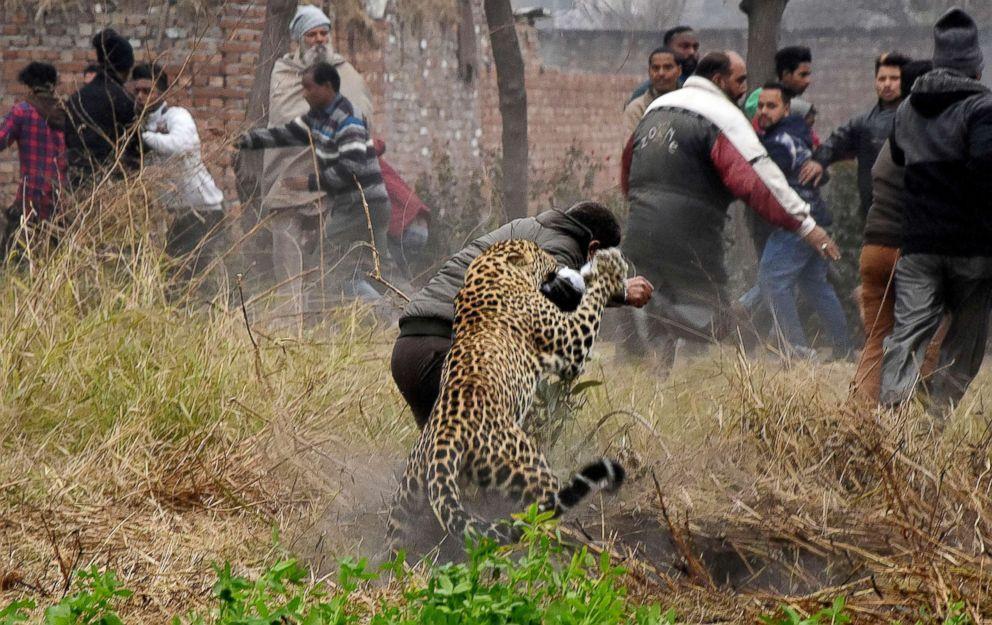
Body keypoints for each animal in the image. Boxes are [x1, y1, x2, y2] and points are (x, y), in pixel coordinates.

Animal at [388, 236, 628, 544]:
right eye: (540, 254)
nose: (556, 260)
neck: (489, 272)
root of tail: (445, 437)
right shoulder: (571, 343)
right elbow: (591, 303)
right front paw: (608, 268)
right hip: (528, 468)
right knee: (539, 515)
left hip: (407, 499)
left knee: (397, 537)